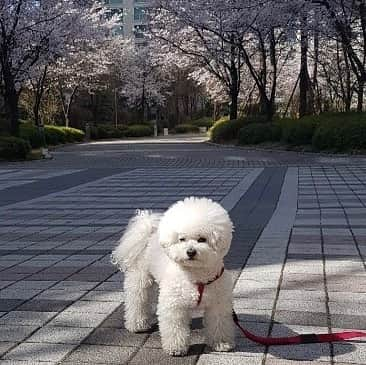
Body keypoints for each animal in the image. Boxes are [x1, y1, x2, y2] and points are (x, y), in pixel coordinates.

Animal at [111, 196, 236, 356]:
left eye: (202, 239)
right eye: (181, 239)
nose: (190, 252)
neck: (196, 275)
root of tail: (148, 233)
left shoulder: (218, 303)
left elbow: (219, 323)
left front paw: (221, 343)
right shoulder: (174, 304)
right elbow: (175, 327)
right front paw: (176, 348)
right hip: (140, 278)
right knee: (137, 300)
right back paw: (137, 325)